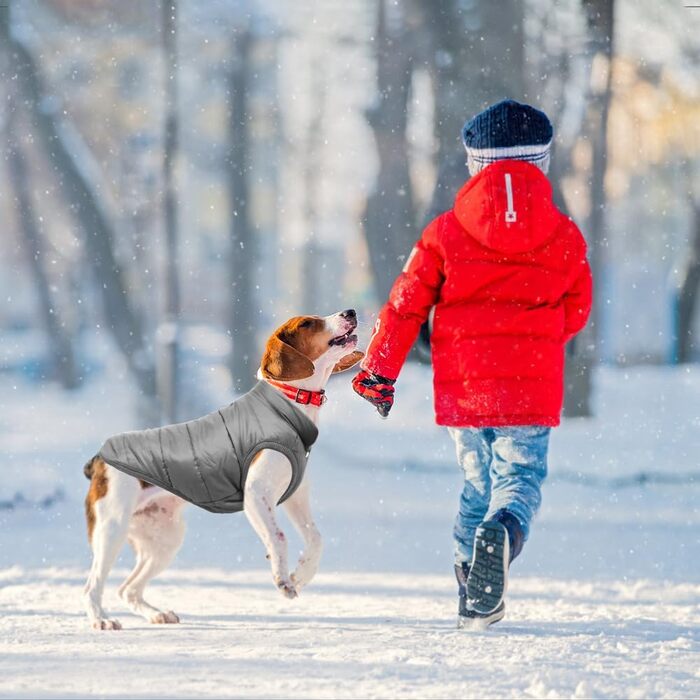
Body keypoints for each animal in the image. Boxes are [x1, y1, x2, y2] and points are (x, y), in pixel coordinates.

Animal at [85, 308, 364, 632]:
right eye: (307, 323)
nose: (351, 312)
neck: (288, 403)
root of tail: (99, 459)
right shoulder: (256, 495)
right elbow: (279, 537)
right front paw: (282, 579)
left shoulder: (296, 497)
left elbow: (316, 540)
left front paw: (300, 576)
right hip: (111, 529)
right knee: (92, 585)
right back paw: (101, 619)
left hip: (165, 539)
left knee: (127, 589)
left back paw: (157, 614)